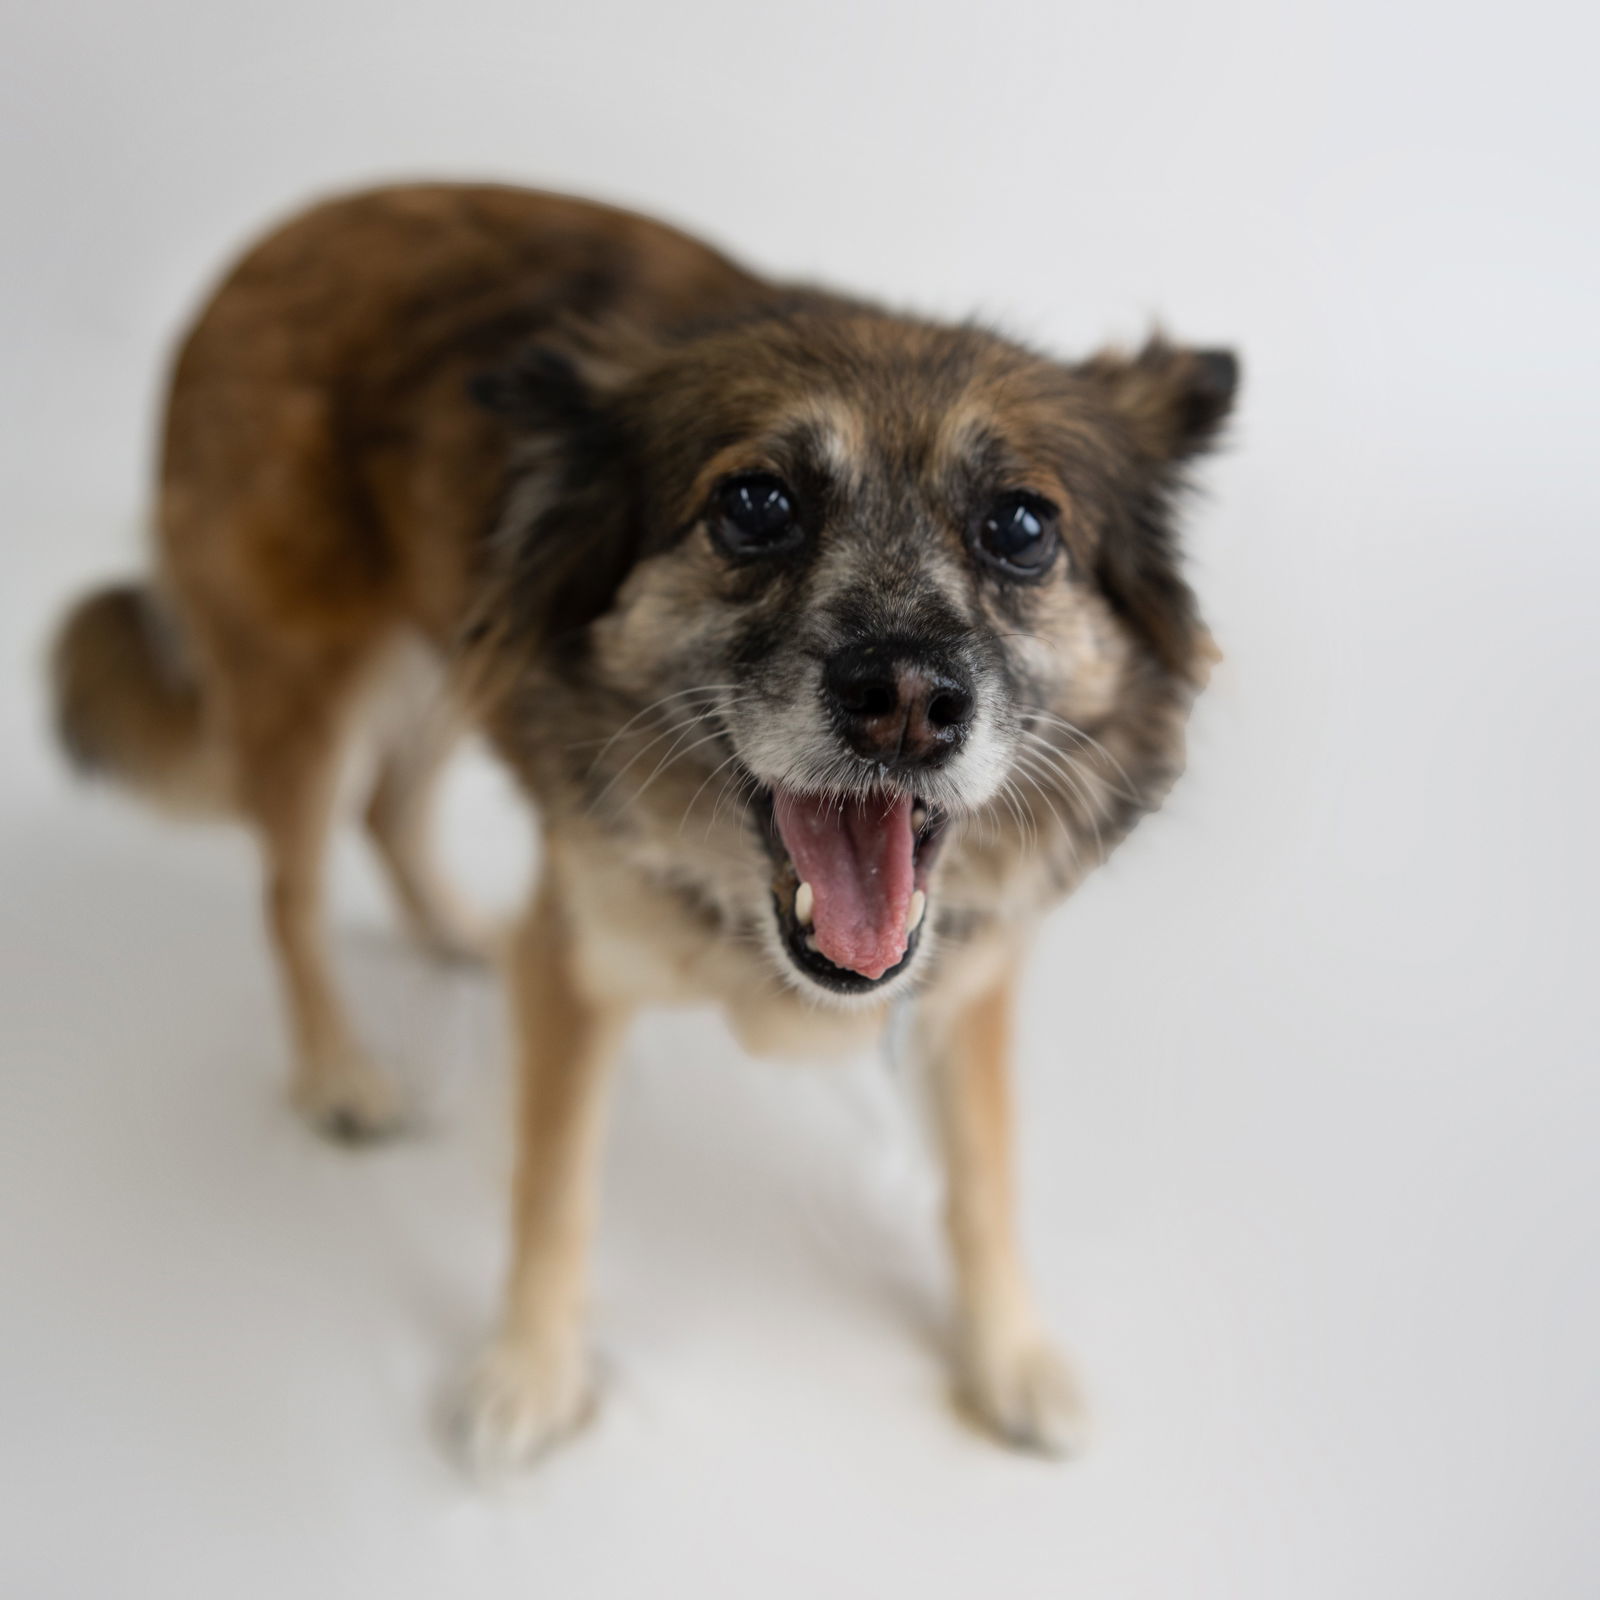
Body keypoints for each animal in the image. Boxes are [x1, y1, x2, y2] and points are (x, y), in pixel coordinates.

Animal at [53, 181, 1235, 1465]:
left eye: (1020, 527)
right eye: (755, 504)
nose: (909, 703)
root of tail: (278, 234)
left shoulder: (968, 983)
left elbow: (983, 1174)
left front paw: (1009, 1358)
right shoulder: (576, 961)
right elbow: (552, 1188)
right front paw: (529, 1375)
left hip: (453, 644)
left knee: (388, 803)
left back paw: (457, 932)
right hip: (309, 686)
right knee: (292, 888)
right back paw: (338, 1073)